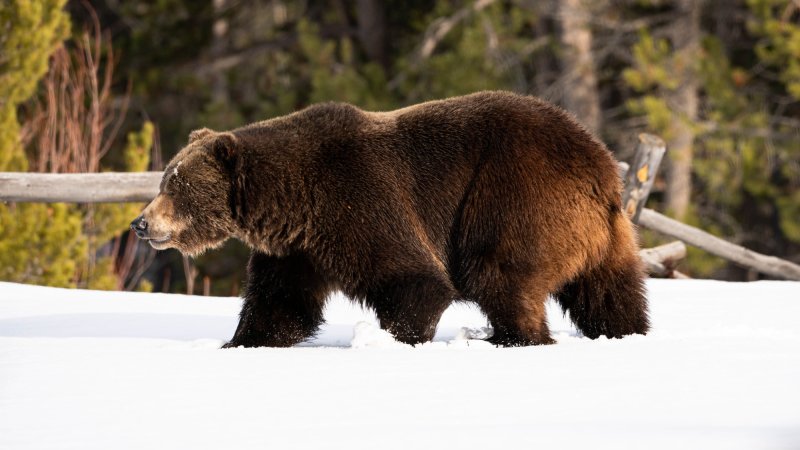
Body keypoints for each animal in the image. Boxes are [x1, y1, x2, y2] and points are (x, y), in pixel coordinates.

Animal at [128, 89, 648, 346]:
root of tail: (601, 165)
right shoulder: (296, 249)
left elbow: (414, 279)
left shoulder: (357, 201)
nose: (141, 223)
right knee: (608, 292)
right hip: (604, 235)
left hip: (511, 196)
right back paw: (624, 334)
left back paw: (512, 338)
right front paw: (241, 342)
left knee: (498, 274)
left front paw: (398, 340)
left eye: (174, 183)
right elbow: (280, 302)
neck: (292, 202)